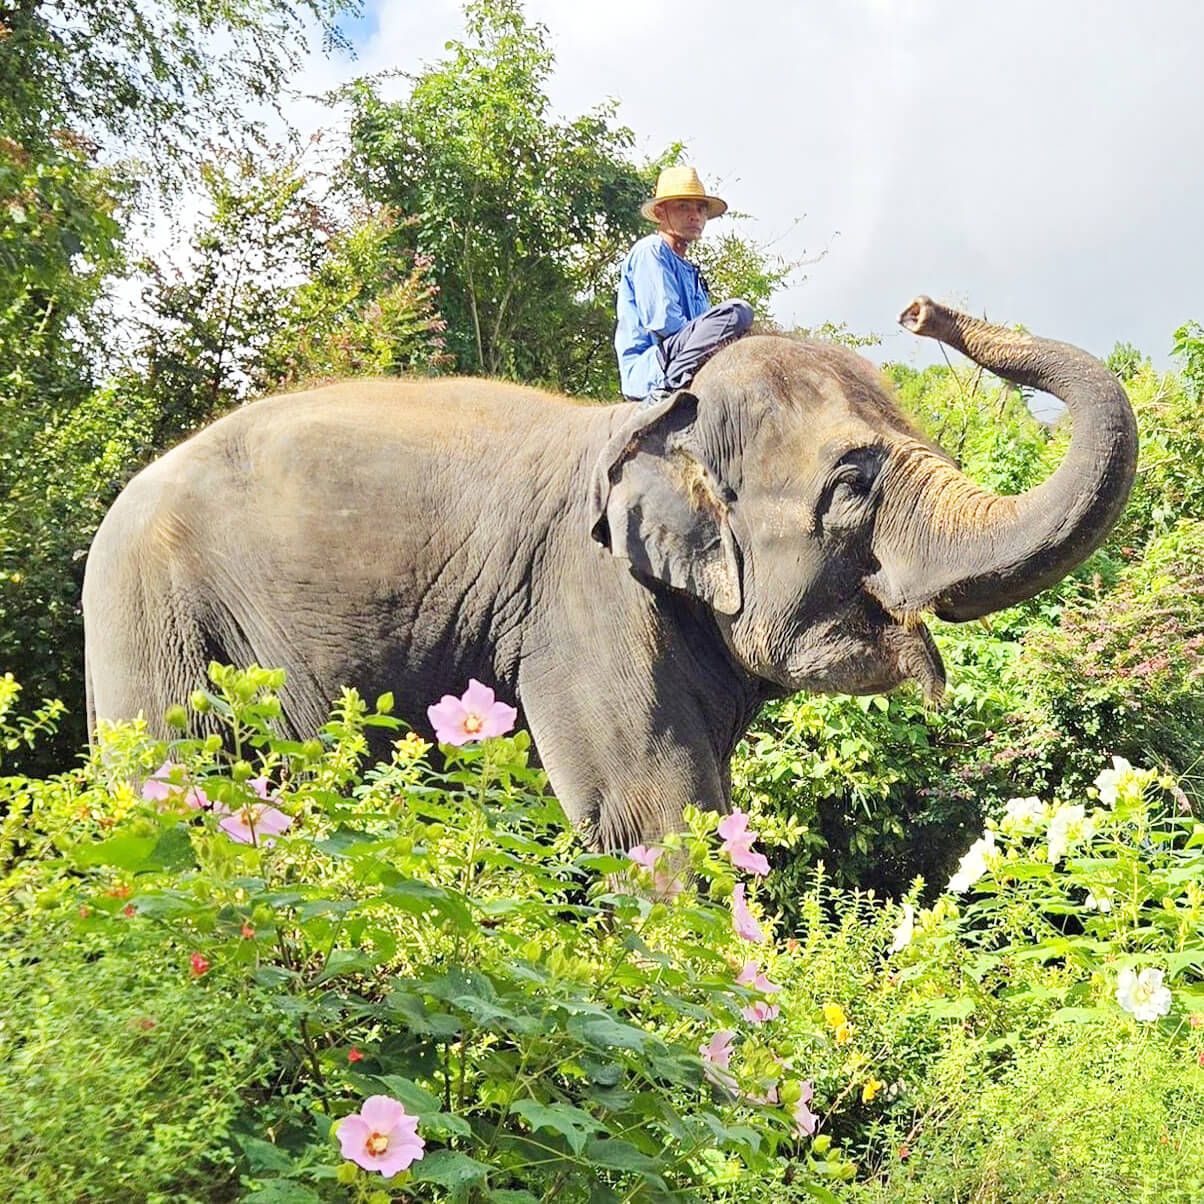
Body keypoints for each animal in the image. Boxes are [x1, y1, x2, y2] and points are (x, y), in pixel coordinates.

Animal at [84, 298, 1136, 847]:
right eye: (849, 487)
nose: (927, 313)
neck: (655, 420)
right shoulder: (580, 601)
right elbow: (655, 818)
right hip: (155, 617)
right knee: (177, 786)